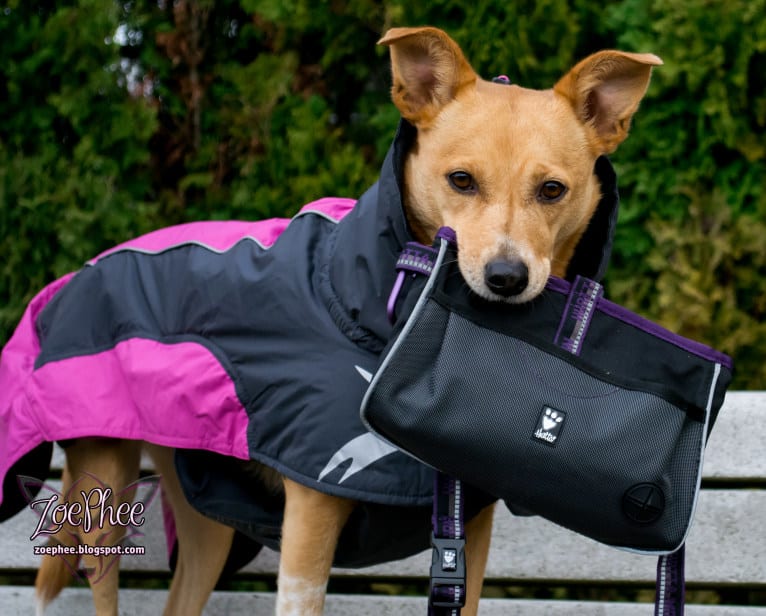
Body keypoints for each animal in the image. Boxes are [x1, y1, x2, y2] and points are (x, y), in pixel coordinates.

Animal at [4, 25, 660, 616]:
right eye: (461, 180)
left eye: (552, 190)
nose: (506, 277)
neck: (371, 305)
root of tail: (79, 271)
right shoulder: (310, 519)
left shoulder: (469, 525)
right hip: (102, 494)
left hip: (205, 520)